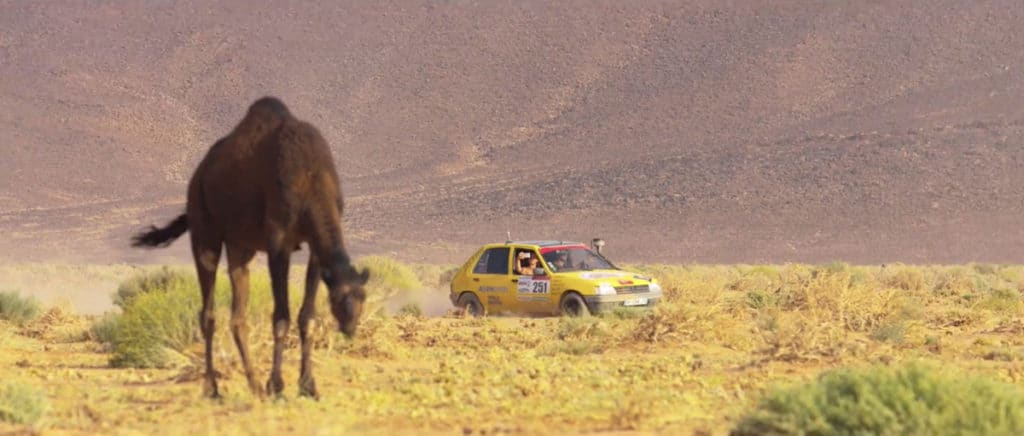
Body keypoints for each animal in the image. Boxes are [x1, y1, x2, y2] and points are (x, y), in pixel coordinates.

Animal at [128, 96, 368, 399]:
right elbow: (281, 317)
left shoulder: (315, 249)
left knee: (238, 316)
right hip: (204, 230)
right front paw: (277, 386)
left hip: (240, 247)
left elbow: (307, 318)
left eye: (363, 298)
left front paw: (308, 386)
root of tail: (199, 174)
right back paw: (214, 389)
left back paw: (254, 385)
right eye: (338, 300)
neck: (310, 175)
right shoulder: (278, 242)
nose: (350, 328)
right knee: (208, 313)